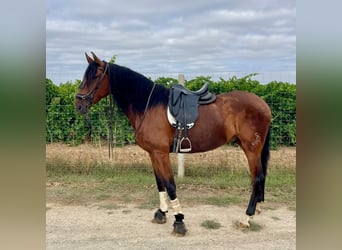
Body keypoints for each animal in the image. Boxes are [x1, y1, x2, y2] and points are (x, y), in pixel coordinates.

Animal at [76, 51, 272, 235]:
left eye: (95, 76)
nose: (78, 105)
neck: (148, 106)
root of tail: (263, 104)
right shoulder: (153, 154)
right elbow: (160, 182)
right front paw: (161, 213)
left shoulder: (161, 153)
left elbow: (170, 185)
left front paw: (179, 221)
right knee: (259, 177)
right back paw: (257, 209)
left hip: (251, 149)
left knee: (257, 178)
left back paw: (246, 218)